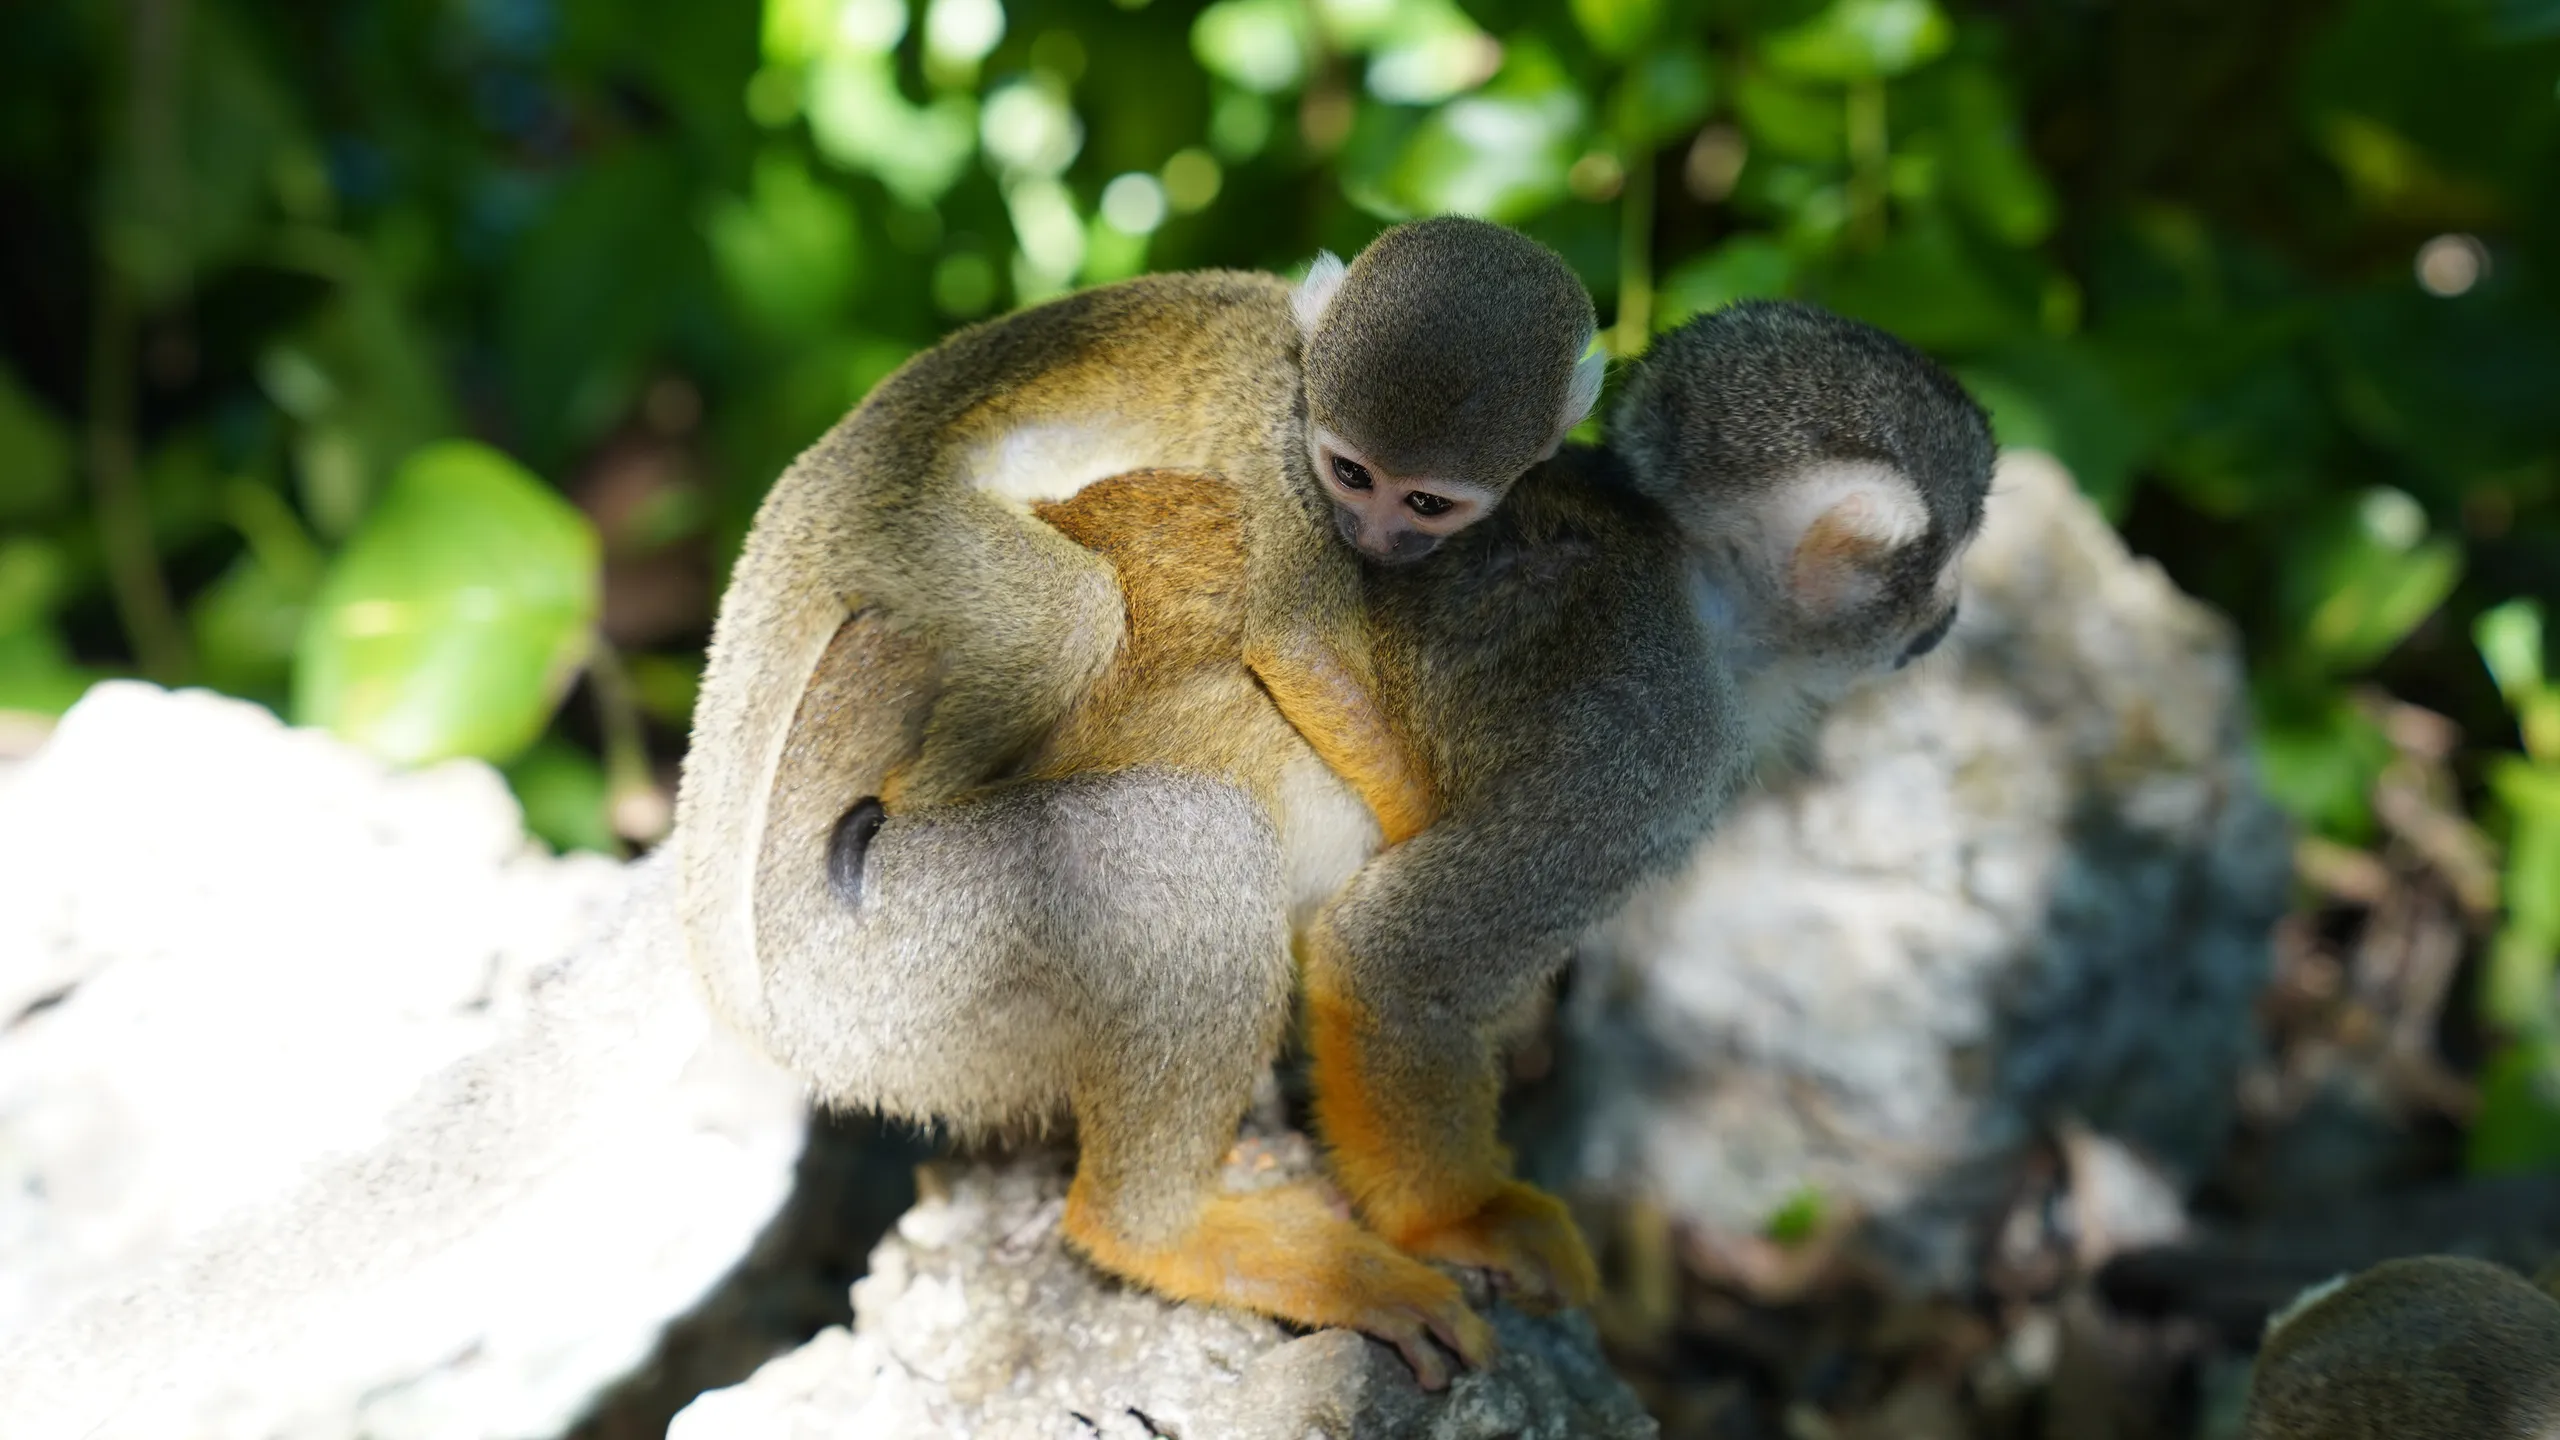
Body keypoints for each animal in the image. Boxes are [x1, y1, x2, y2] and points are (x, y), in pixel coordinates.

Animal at [681, 300, 1996, 1384]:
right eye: (1949, 556)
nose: (1949, 619)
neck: (1696, 586)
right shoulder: (1644, 741)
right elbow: (1394, 959)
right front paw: (1456, 1219)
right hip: (889, 973)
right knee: (1184, 844)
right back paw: (1166, 1231)